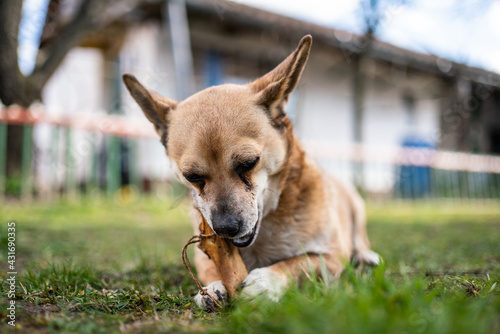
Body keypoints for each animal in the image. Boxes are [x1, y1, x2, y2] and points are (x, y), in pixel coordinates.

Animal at [124, 35, 378, 310]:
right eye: (192, 176)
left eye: (248, 163)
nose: (225, 228)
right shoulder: (204, 254)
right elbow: (212, 268)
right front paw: (211, 288)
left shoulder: (332, 257)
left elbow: (299, 263)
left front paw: (268, 280)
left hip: (357, 210)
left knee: (360, 240)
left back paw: (366, 256)